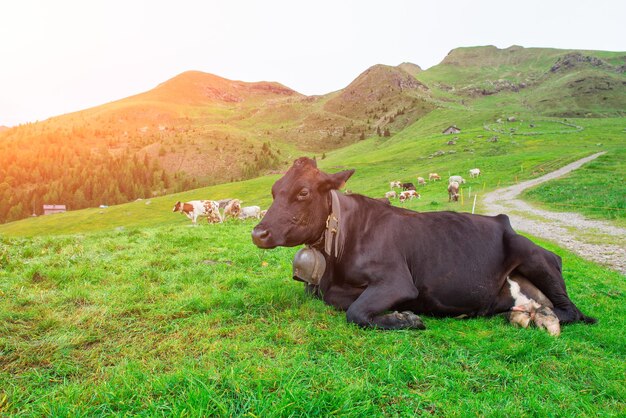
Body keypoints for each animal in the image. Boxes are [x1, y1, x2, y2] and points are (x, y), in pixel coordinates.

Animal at [250, 157, 596, 334]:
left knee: (572, 311)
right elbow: (336, 300)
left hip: (534, 256)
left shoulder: (397, 281)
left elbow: (356, 311)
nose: (258, 233)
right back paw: (521, 315)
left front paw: (405, 318)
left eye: (303, 192)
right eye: (275, 190)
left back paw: (537, 318)